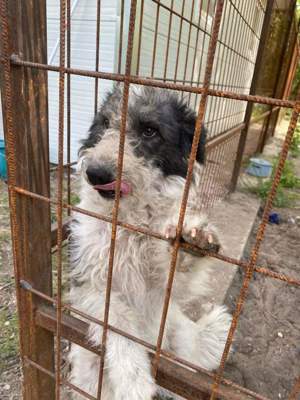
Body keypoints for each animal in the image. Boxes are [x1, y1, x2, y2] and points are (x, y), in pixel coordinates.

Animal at [68, 86, 232, 398]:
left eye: (149, 131)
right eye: (105, 123)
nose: (95, 173)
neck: (129, 223)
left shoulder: (164, 290)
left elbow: (177, 274)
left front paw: (193, 241)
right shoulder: (89, 285)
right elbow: (118, 322)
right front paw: (134, 381)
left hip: (177, 339)